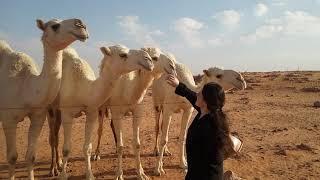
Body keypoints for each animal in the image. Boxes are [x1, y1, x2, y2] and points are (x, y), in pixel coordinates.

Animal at [0, 18, 88, 180]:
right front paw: (53, 170)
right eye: (55, 26)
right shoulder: (9, 118)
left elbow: (31, 156)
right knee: (53, 137)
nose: (81, 24)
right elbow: (13, 157)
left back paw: (59, 164)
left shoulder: (38, 114)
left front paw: (58, 166)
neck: (26, 86)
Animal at [47, 44, 154, 179]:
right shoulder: (67, 113)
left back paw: (59, 163)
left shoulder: (91, 111)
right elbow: (66, 148)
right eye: (122, 54)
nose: (148, 59)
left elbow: (87, 147)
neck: (83, 88)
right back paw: (53, 169)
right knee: (53, 137)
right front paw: (63, 176)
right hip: (50, 108)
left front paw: (89, 175)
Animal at [94, 47, 176, 179]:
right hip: (102, 105)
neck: (129, 91)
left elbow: (137, 144)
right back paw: (97, 154)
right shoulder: (117, 111)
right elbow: (121, 146)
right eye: (154, 57)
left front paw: (141, 173)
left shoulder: (137, 111)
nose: (172, 66)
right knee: (100, 129)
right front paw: (119, 175)